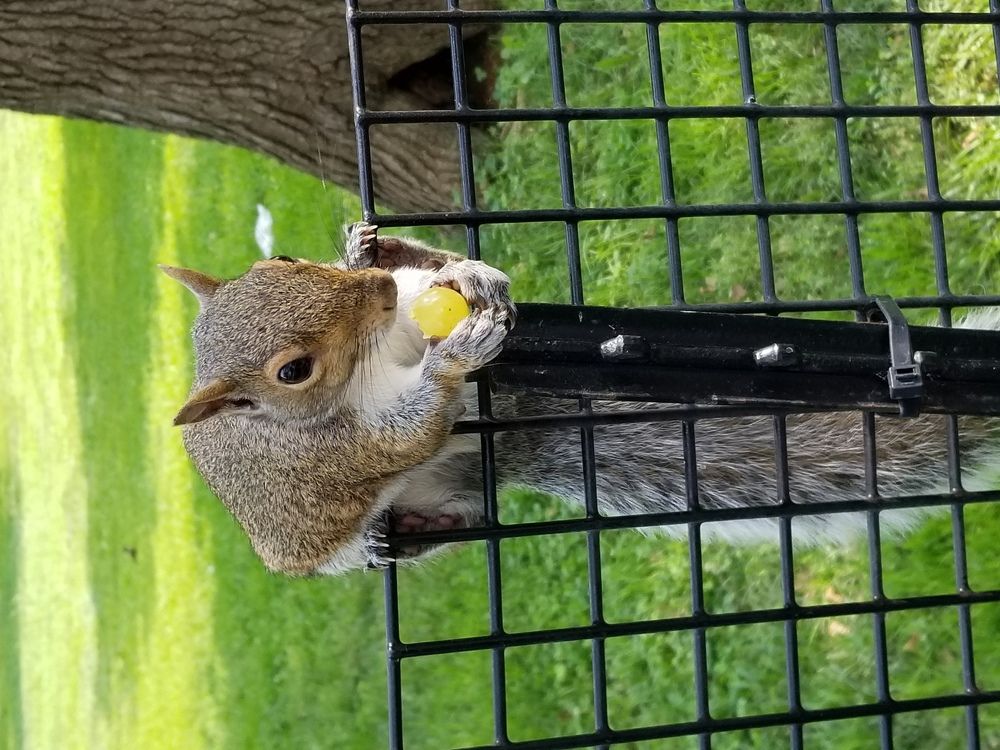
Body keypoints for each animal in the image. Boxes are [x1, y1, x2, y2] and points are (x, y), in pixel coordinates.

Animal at [162, 222, 1000, 576]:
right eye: (292, 371)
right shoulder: (347, 446)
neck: (384, 350)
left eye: (281, 259)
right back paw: (395, 539)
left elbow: (427, 270)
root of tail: (505, 444)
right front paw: (454, 356)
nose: (371, 290)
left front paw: (429, 260)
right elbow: (406, 431)